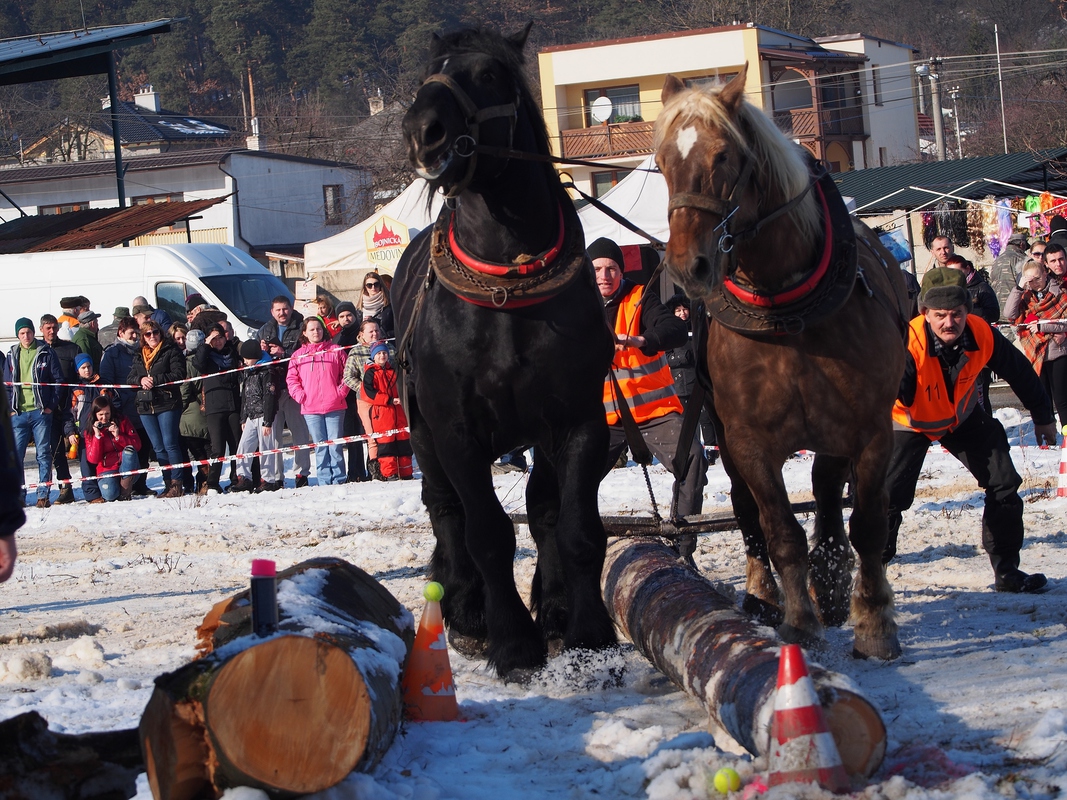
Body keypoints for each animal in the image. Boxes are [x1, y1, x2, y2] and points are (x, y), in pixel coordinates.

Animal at [393, 25, 618, 678]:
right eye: (428, 73)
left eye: (490, 74)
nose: (424, 131)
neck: (506, 291)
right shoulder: (456, 433)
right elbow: (487, 533)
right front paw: (512, 641)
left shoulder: (578, 421)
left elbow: (575, 527)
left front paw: (587, 629)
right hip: (424, 436)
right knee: (446, 511)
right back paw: (468, 610)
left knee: (543, 510)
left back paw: (554, 605)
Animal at [654, 65, 909, 660]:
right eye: (662, 162)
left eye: (723, 155)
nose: (687, 266)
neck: (786, 311)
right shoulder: (746, 440)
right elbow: (778, 529)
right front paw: (797, 620)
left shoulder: (870, 429)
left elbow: (867, 524)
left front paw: (873, 623)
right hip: (723, 432)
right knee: (748, 512)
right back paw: (764, 594)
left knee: (827, 491)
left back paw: (833, 579)